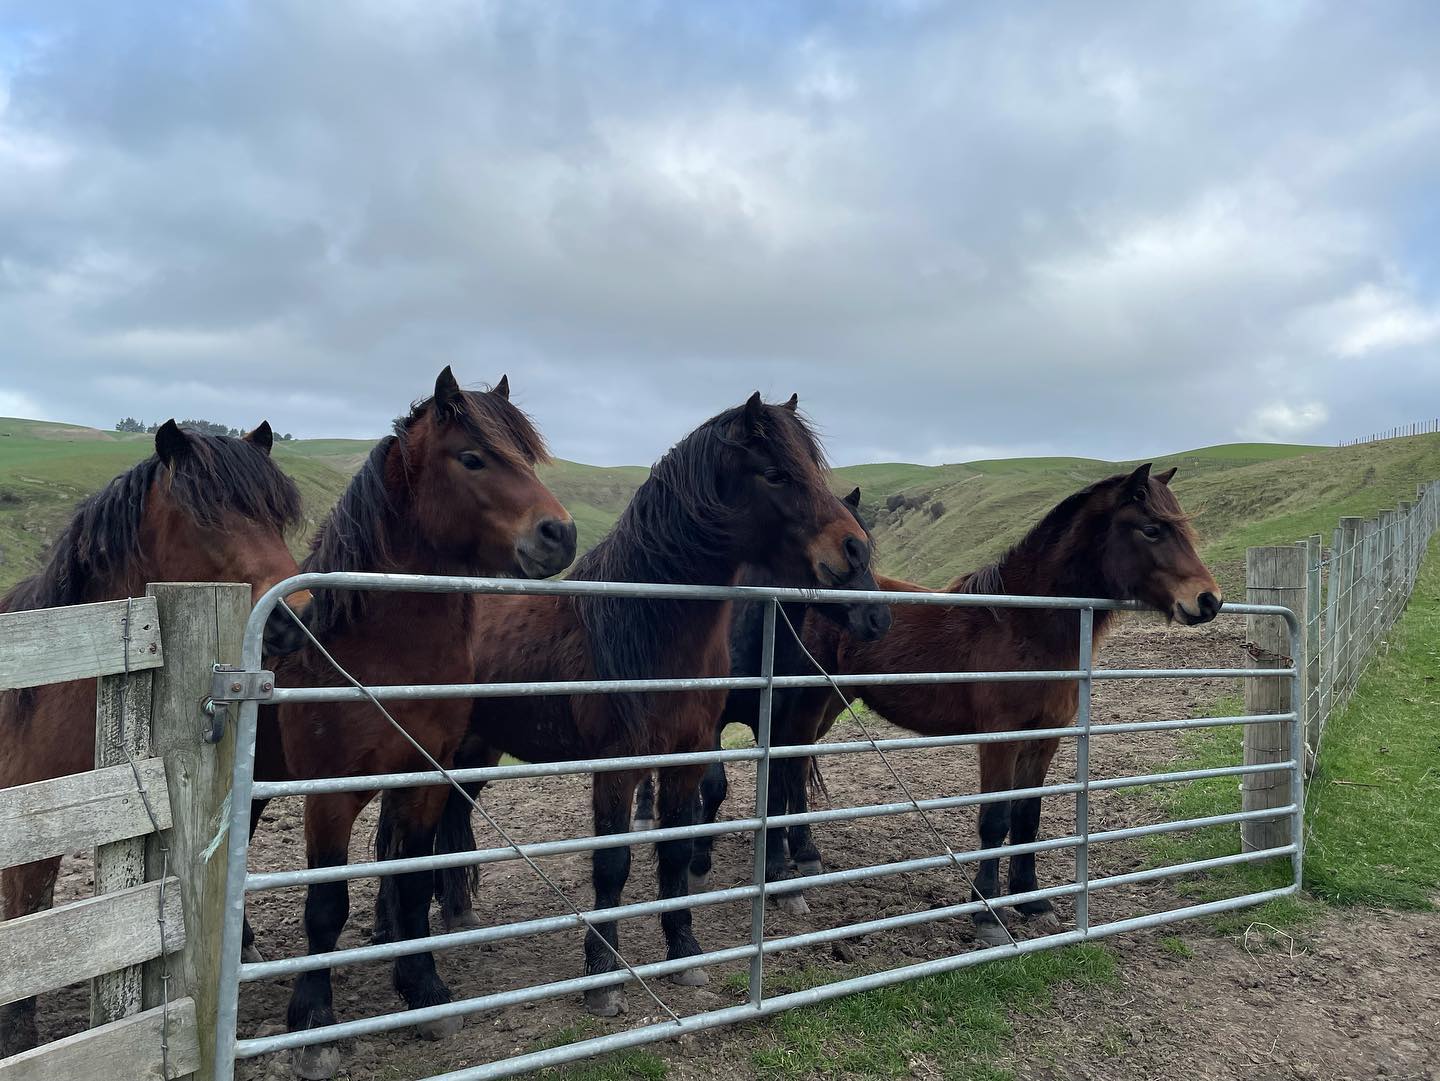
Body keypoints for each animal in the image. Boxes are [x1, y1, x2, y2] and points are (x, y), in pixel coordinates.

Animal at [256, 367, 575, 1081]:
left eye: (528, 457)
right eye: (472, 457)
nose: (560, 535)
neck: (373, 648)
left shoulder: (425, 780)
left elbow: (411, 884)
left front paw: (422, 988)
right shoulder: (329, 796)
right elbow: (325, 906)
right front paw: (312, 1022)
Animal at [628, 487, 892, 915]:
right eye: (847, 553)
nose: (879, 618)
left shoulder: (780, 722)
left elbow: (776, 791)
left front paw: (781, 876)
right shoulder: (713, 724)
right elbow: (715, 786)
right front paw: (698, 863)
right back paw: (646, 815)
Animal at [786, 464, 1222, 944]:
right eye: (1152, 530)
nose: (1208, 600)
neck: (1023, 623)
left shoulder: (1045, 737)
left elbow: (1027, 817)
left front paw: (1033, 902)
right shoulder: (1000, 737)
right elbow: (995, 819)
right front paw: (987, 916)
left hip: (832, 701)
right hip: (808, 700)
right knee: (790, 768)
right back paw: (800, 863)